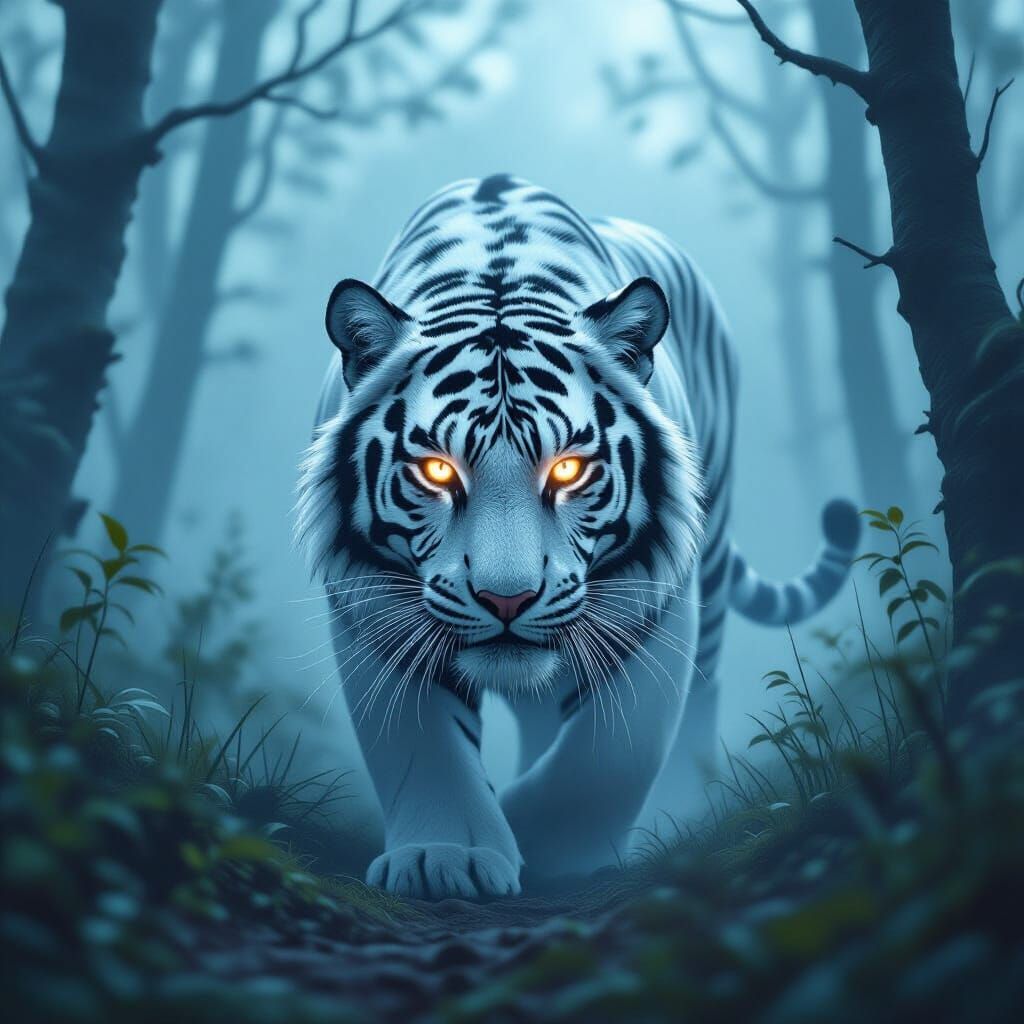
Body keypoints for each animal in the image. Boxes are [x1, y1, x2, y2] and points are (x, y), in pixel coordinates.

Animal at [296, 174, 859, 899]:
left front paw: (547, 849)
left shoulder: (652, 601)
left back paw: (685, 810)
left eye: (567, 468)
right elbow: (420, 744)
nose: (506, 600)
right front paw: (444, 857)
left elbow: (608, 758)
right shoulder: (370, 601)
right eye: (437, 470)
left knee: (700, 694)